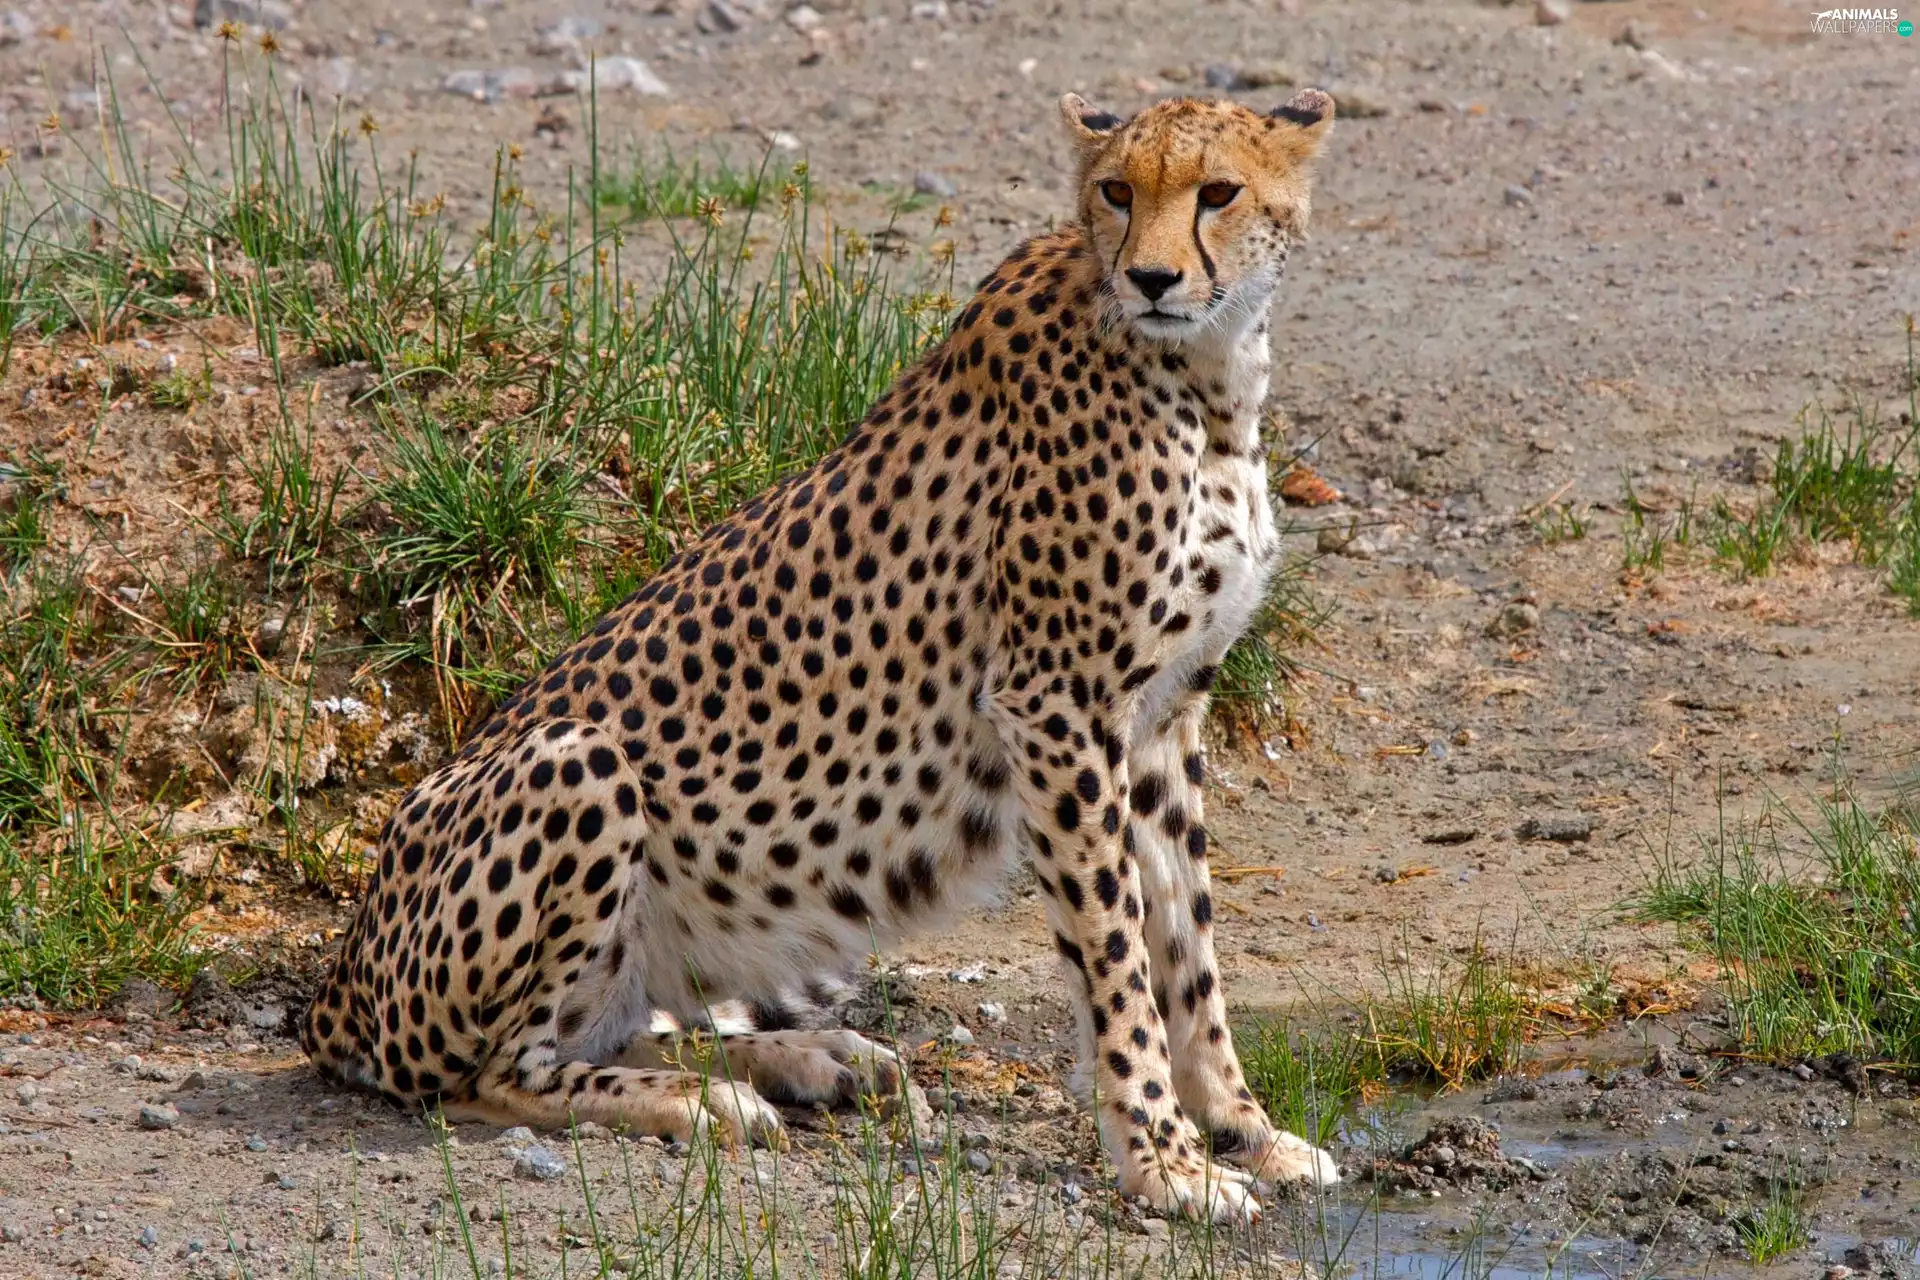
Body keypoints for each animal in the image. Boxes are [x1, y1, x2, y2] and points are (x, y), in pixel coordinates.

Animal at [303, 87, 1342, 1223]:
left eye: (1219, 191)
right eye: (1117, 191)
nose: (1153, 278)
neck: (1208, 377)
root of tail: (336, 982)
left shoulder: (1162, 717)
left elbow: (1188, 948)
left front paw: (1248, 1131)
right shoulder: (1058, 707)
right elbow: (1117, 956)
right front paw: (1164, 1160)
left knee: (621, 1026)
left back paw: (817, 1058)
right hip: (575, 763)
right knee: (496, 1072)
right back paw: (700, 1102)